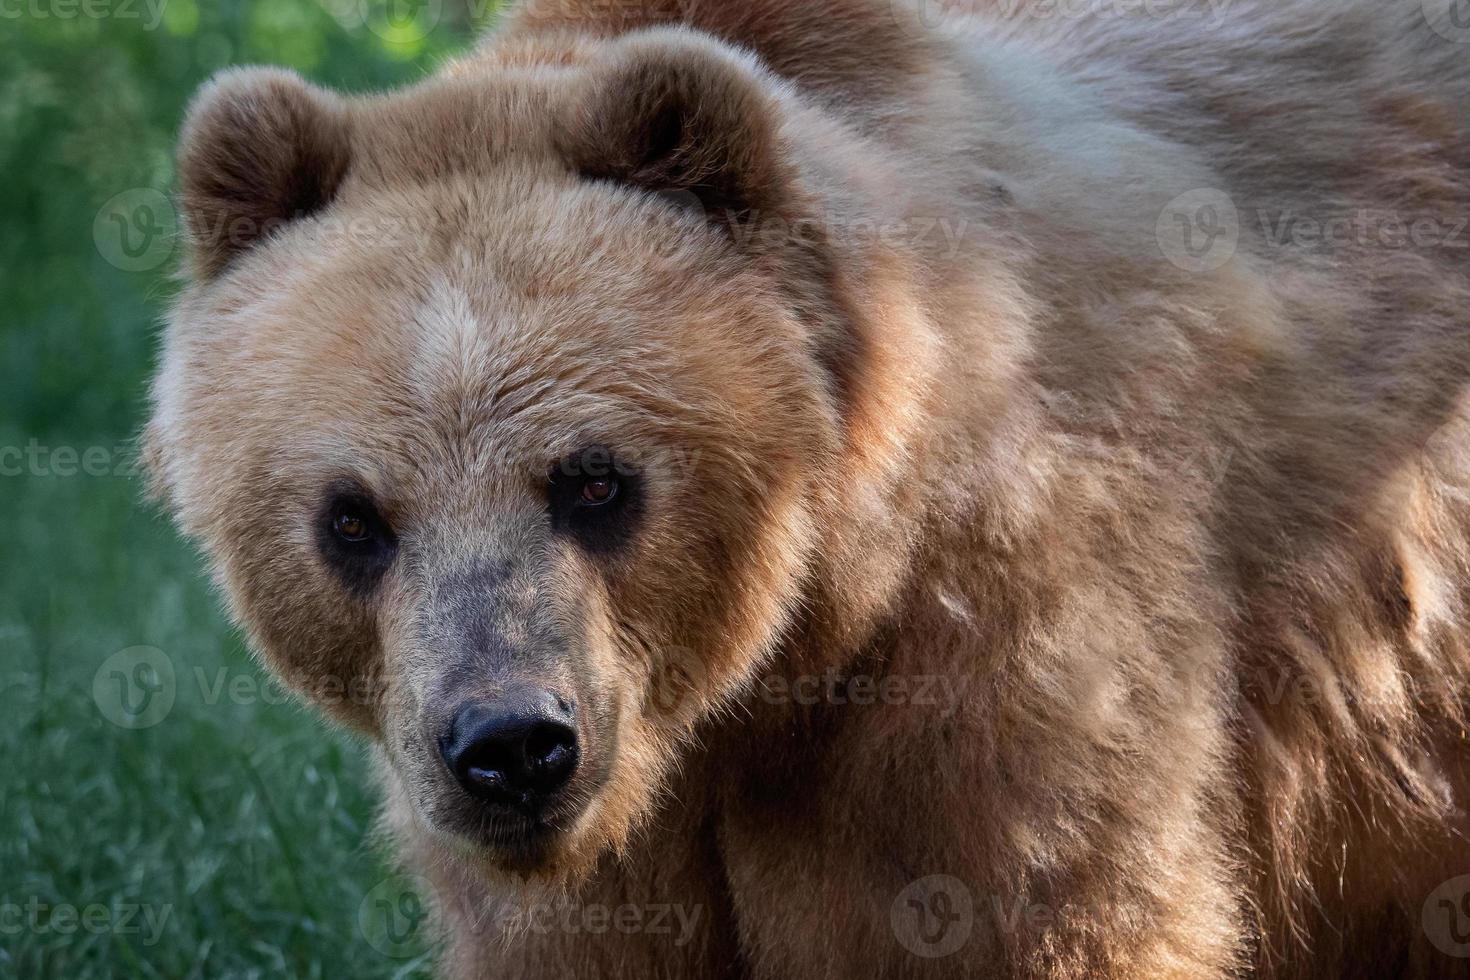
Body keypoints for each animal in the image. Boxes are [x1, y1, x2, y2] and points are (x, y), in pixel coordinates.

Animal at [146, 0, 1470, 975]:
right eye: (352, 516)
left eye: (595, 479)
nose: (512, 745)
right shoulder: (583, 855)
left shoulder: (1001, 664)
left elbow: (1047, 903)